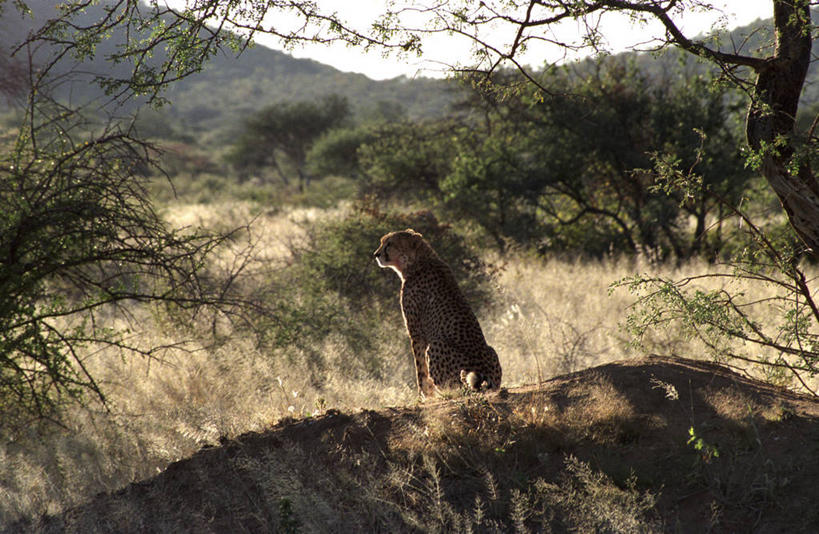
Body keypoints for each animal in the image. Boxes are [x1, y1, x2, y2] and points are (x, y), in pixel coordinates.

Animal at [372, 230, 500, 398]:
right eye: (382, 242)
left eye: (389, 244)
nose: (376, 254)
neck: (418, 261)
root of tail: (487, 376)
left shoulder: (416, 333)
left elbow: (420, 368)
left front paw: (424, 395)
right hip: (491, 351)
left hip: (436, 345)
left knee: (456, 387)